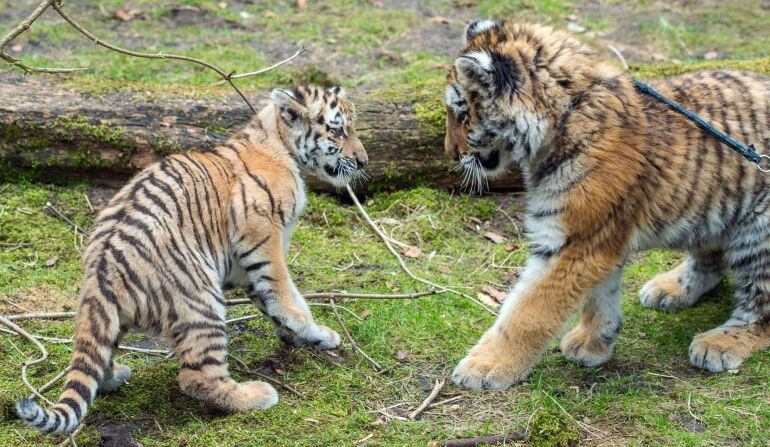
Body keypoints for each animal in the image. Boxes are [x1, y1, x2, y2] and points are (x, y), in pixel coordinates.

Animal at [16, 85, 366, 434]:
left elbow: (268, 297)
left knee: (97, 355)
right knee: (196, 377)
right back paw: (255, 396)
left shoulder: (244, 264)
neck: (277, 140)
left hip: (111, 317)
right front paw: (301, 321)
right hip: (201, 301)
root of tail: (102, 268)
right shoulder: (262, 233)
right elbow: (281, 287)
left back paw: (113, 377)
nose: (363, 161)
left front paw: (314, 334)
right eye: (338, 130)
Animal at [440, 21, 768, 392]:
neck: (563, 117)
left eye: (462, 113)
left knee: (761, 309)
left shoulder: (574, 242)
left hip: (759, 230)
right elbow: (600, 295)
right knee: (711, 259)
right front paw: (594, 341)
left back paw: (720, 342)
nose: (450, 153)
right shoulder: (598, 238)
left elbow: (528, 312)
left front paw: (485, 366)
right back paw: (670, 289)